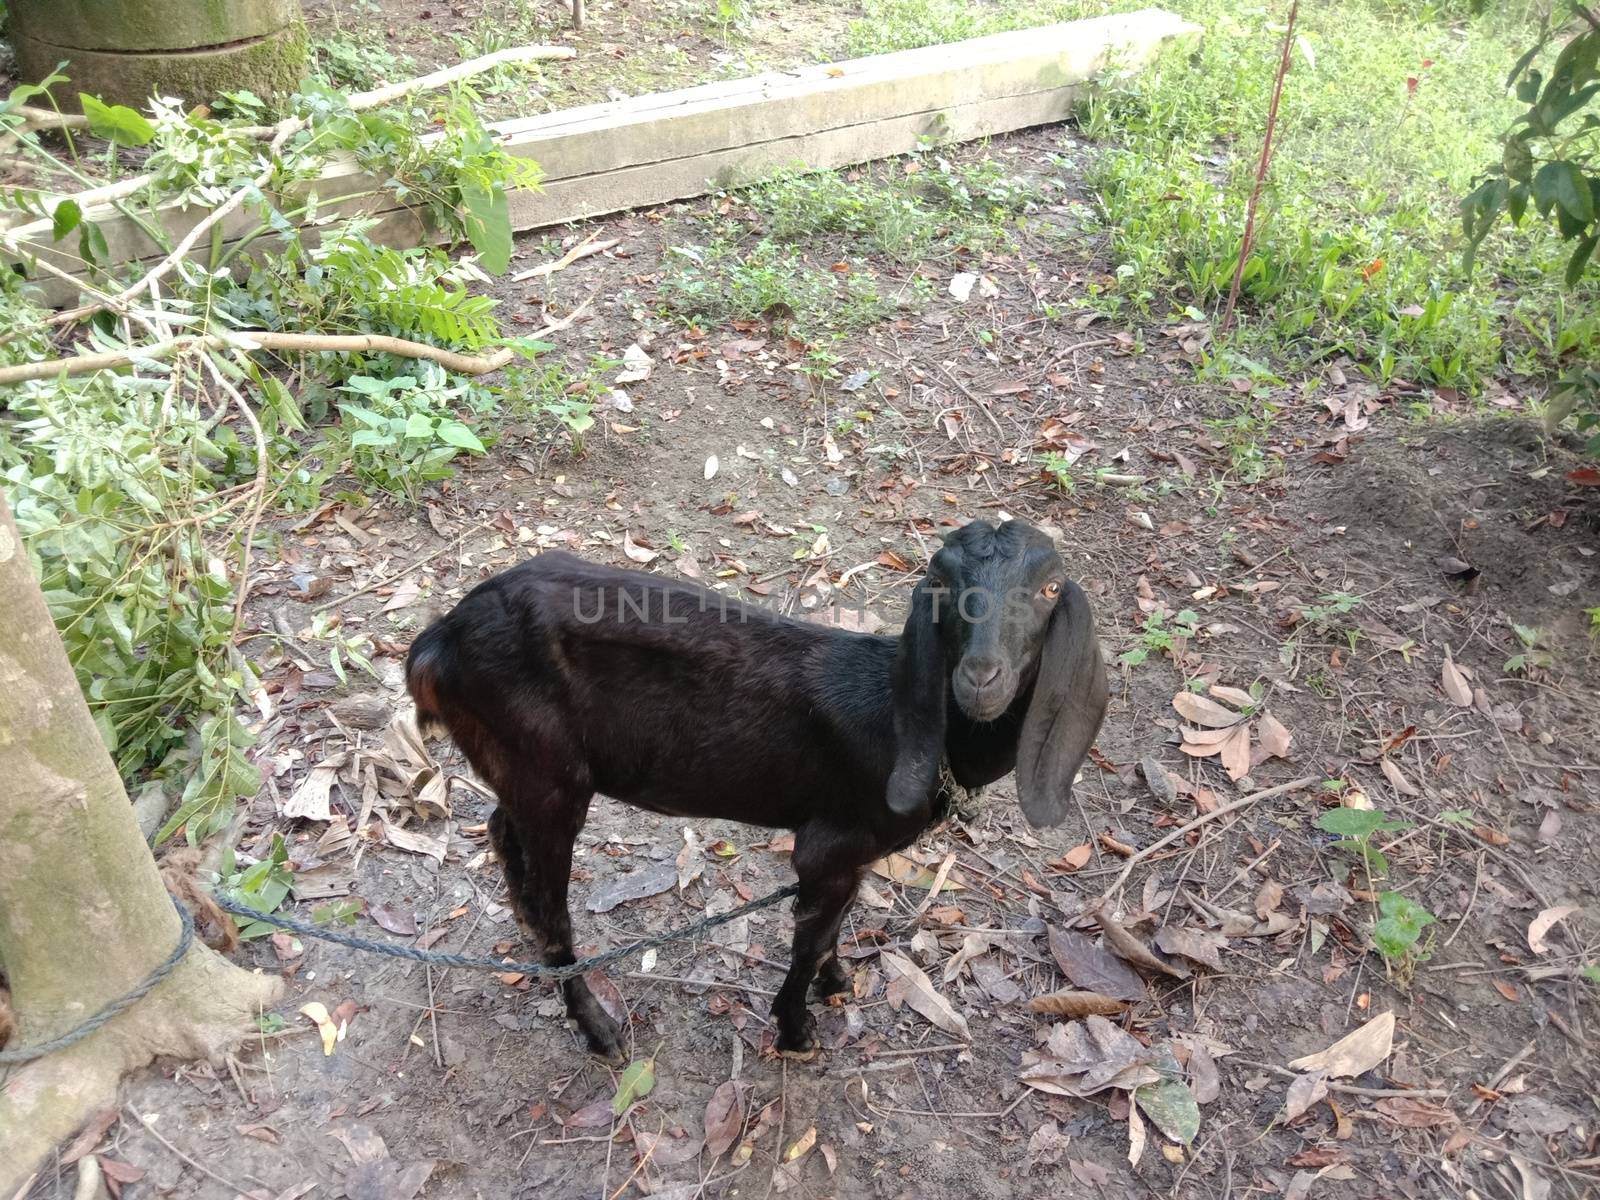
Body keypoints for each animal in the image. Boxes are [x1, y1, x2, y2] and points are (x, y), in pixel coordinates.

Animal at [409, 518, 1113, 1062]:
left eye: (1050, 588)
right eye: (941, 586)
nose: (980, 678)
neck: (902, 723)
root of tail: (438, 641)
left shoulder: (853, 857)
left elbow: (833, 926)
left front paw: (836, 981)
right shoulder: (828, 845)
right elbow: (808, 940)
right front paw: (796, 1031)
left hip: (522, 765)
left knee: (503, 828)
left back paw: (526, 922)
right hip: (550, 776)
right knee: (553, 901)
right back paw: (598, 1027)